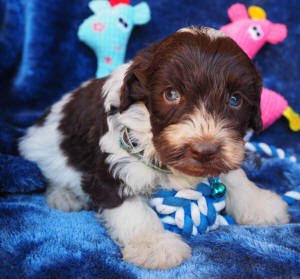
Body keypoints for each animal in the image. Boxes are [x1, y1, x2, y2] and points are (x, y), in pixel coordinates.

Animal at [18, 27, 288, 270]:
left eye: (235, 100)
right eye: (171, 94)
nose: (204, 150)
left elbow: (235, 177)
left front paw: (259, 204)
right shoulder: (113, 164)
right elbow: (132, 210)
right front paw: (156, 246)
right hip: (46, 149)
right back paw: (64, 196)